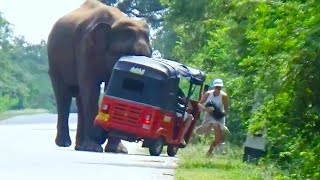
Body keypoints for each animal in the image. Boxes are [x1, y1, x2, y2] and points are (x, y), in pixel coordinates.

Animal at [46, 0, 152, 153]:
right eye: (123, 53)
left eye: (149, 55)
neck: (115, 22)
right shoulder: (85, 48)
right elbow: (91, 90)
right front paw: (94, 147)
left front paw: (117, 151)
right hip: (54, 60)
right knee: (64, 95)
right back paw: (66, 144)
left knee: (79, 98)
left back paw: (81, 147)